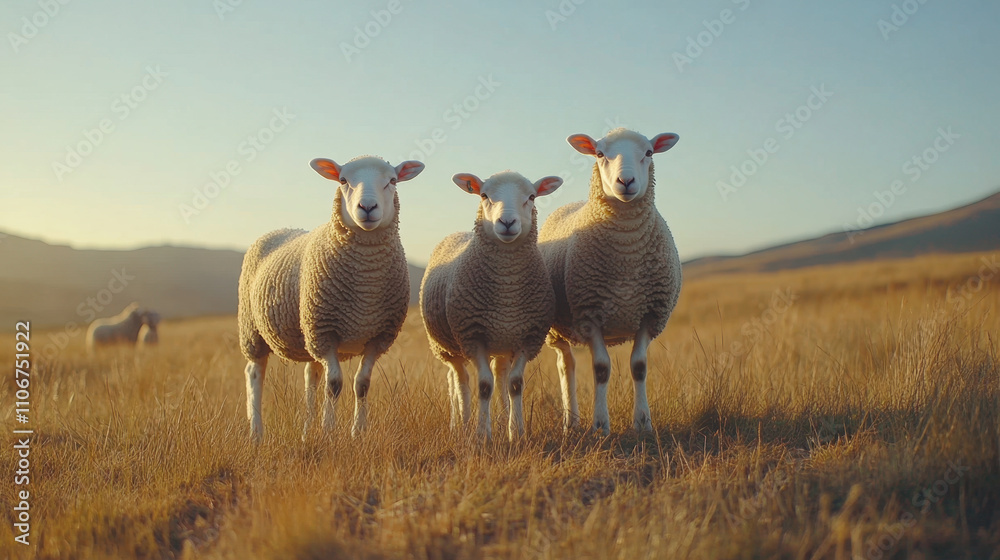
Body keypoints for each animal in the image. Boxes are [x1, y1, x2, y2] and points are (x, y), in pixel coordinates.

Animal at [238, 155, 425, 442]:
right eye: (343, 180)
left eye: (392, 181)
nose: (367, 207)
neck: (366, 281)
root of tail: (280, 229)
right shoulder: (325, 333)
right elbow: (334, 385)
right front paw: (328, 431)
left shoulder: (377, 337)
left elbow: (362, 384)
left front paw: (357, 432)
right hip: (253, 330)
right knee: (255, 374)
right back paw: (256, 432)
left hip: (306, 335)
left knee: (310, 376)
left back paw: (306, 432)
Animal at [420, 171, 563, 441]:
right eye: (484, 195)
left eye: (531, 196)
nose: (506, 222)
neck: (506, 292)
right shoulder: (473, 336)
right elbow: (484, 386)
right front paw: (482, 435)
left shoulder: (527, 337)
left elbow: (514, 384)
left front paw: (516, 432)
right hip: (447, 346)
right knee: (460, 380)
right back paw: (463, 423)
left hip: (502, 341)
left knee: (499, 376)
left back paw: (501, 418)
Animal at [539, 128, 682, 435]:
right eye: (600, 153)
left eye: (649, 152)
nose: (625, 181)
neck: (626, 250)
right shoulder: (589, 316)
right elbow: (601, 369)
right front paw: (600, 425)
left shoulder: (650, 315)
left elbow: (639, 366)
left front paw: (643, 423)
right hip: (557, 330)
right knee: (566, 365)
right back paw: (571, 422)